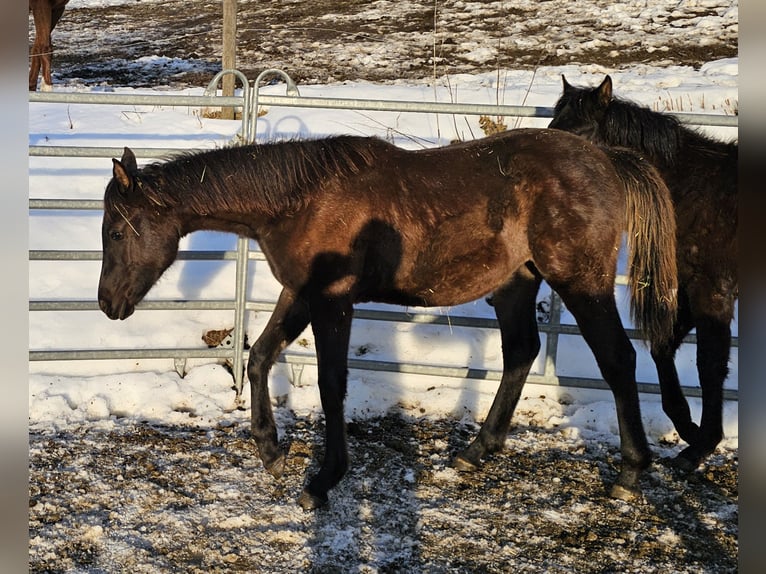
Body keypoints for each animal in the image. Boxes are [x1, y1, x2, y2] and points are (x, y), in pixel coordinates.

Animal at [97, 129, 679, 509]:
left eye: (118, 231)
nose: (107, 304)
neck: (300, 200)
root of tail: (607, 159)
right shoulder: (300, 293)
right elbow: (260, 356)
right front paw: (270, 449)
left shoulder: (332, 301)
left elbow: (331, 384)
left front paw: (323, 480)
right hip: (518, 282)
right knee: (521, 353)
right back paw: (475, 452)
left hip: (581, 283)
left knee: (617, 359)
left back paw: (630, 472)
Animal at [549, 75, 738, 472]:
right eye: (553, 125)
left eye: (582, 132)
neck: (699, 191)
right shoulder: (689, 289)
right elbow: (662, 349)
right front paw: (688, 427)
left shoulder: (713, 291)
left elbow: (709, 365)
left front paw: (700, 447)